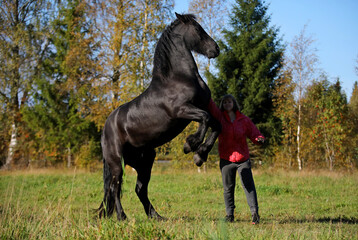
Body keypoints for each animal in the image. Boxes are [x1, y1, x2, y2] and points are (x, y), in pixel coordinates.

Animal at [98, 12, 221, 220]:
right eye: (198, 29)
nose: (215, 49)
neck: (178, 79)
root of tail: (106, 127)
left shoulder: (202, 108)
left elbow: (216, 125)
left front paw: (200, 155)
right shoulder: (182, 111)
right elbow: (205, 119)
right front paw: (191, 145)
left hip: (145, 161)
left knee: (139, 189)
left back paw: (156, 216)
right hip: (116, 161)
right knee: (115, 187)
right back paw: (122, 217)